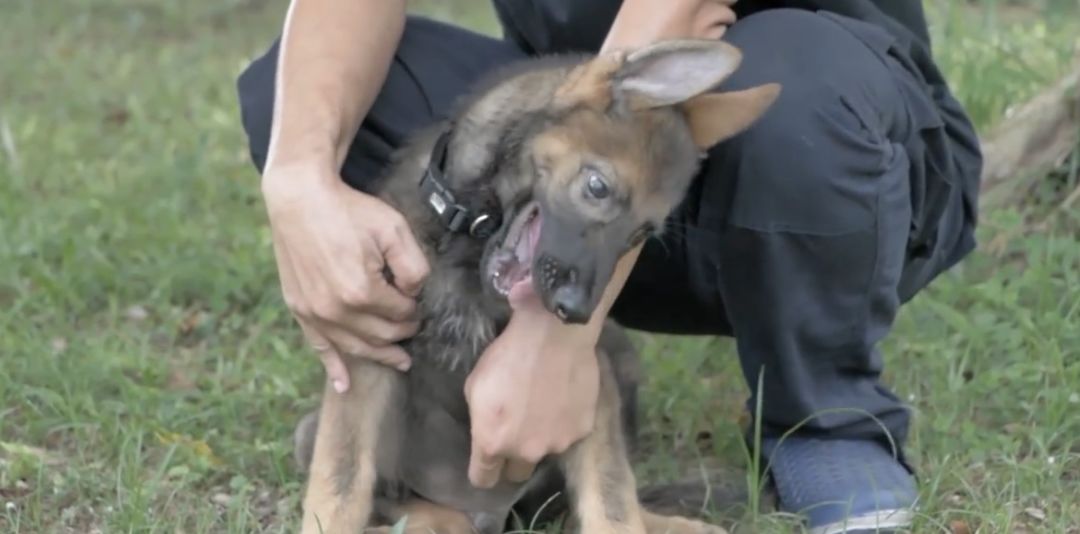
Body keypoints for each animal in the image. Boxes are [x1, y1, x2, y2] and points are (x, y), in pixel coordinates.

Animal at [293, 39, 777, 531]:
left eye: (640, 235)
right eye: (597, 187)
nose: (577, 312)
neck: (466, 249)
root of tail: (493, 513)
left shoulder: (587, 381)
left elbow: (612, 496)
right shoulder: (367, 353)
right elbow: (341, 482)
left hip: (614, 361)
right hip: (310, 433)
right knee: (415, 505)